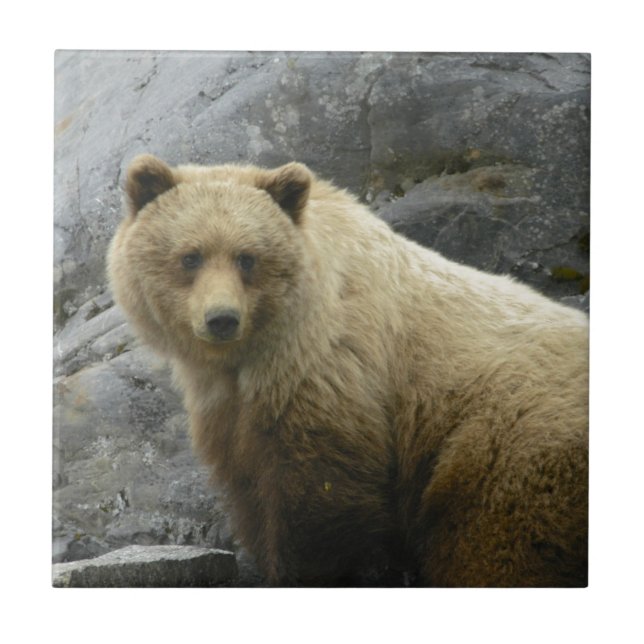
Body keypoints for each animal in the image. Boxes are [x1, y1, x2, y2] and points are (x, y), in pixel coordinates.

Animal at [107, 154, 589, 587]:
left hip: (509, 442)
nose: (222, 319)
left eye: (247, 257)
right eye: (191, 256)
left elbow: (317, 499)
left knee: (496, 547)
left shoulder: (330, 369)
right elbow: (249, 485)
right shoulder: (229, 407)